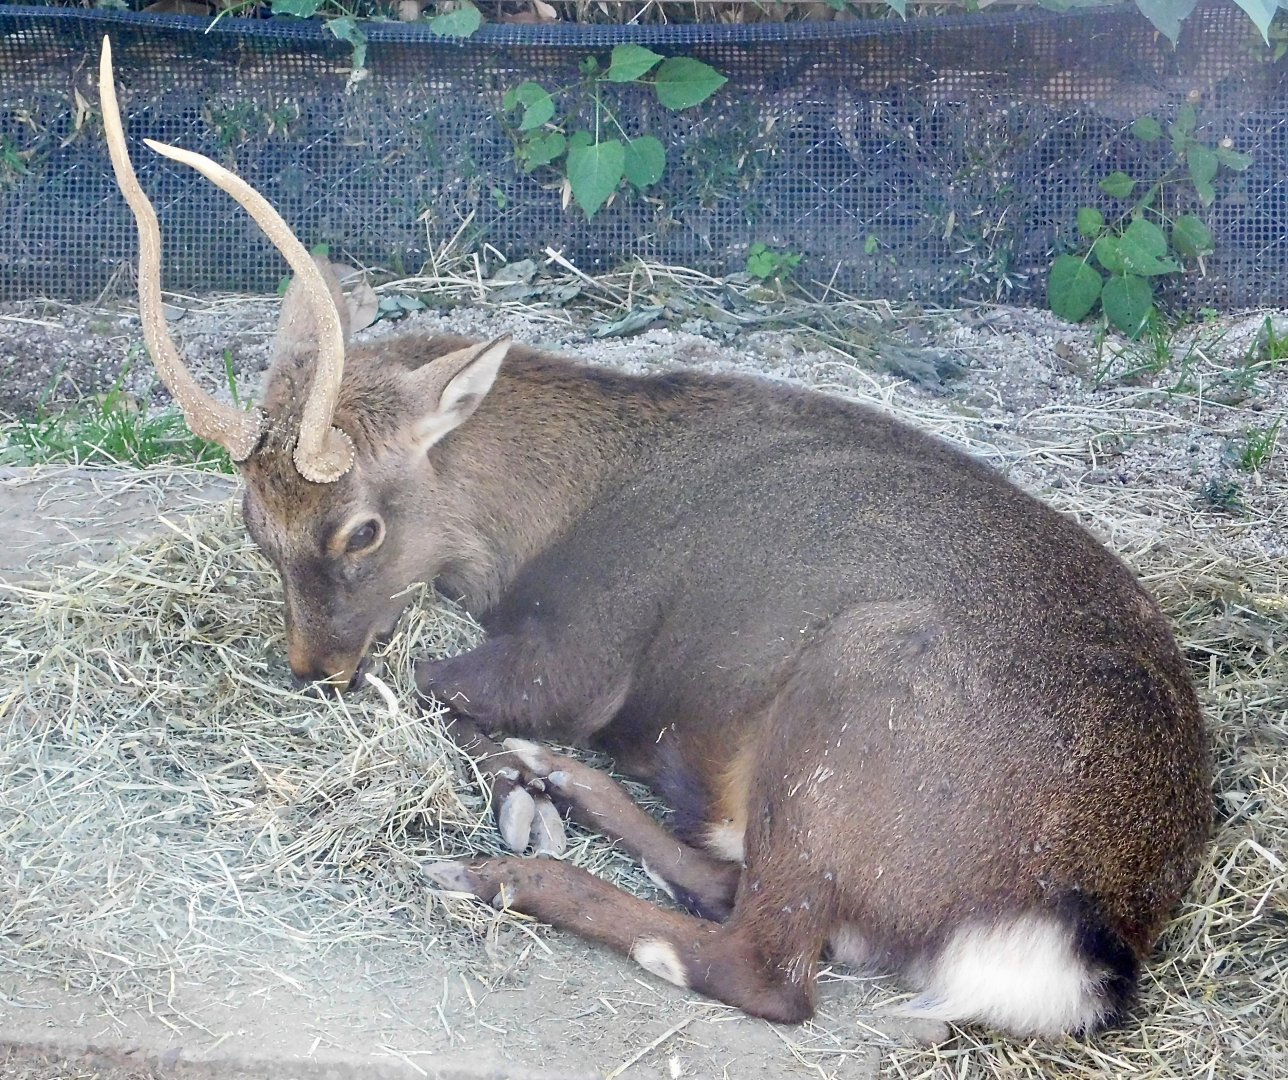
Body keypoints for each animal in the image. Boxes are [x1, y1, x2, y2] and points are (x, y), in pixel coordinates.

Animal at [99, 36, 1209, 1040]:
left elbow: (424, 679)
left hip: (854, 697)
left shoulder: (581, 654)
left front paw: (511, 789)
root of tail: (1074, 943)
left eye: (360, 529)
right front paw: (524, 782)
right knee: (728, 886)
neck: (539, 525)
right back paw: (559, 787)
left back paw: (498, 868)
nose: (311, 666)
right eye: (254, 526)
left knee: (767, 964)